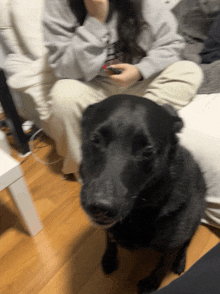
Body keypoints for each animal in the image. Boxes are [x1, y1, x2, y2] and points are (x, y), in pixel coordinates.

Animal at [79, 94, 206, 294]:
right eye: (95, 139)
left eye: (148, 150)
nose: (100, 208)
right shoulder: (110, 229)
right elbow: (109, 239)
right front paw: (109, 258)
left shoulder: (171, 243)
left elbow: (163, 263)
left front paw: (152, 282)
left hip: (195, 216)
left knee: (186, 242)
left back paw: (180, 261)